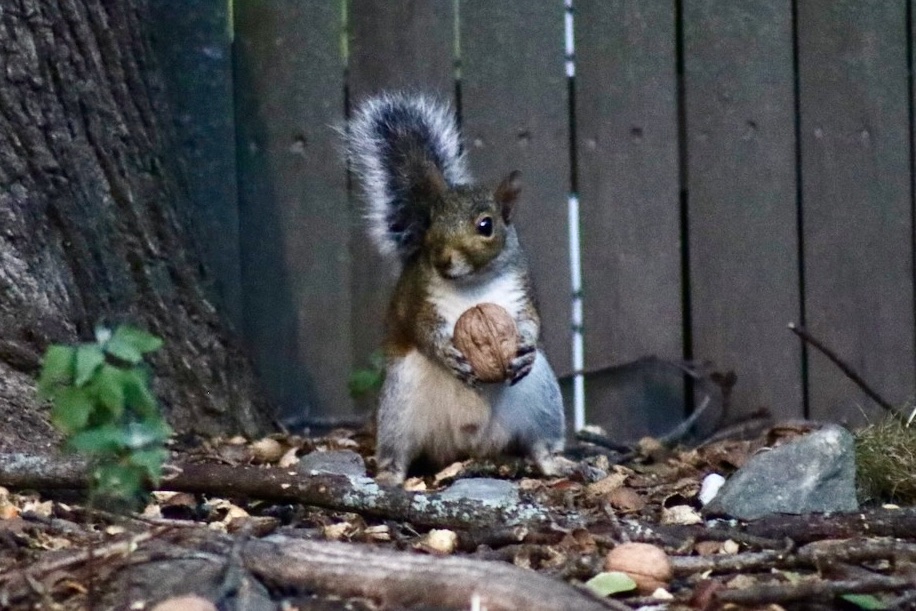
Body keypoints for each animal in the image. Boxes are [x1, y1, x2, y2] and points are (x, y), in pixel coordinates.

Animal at [346, 92, 566, 485]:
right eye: (429, 221)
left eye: (486, 225)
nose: (443, 259)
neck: (472, 284)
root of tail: (468, 444)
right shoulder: (419, 299)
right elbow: (423, 330)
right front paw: (448, 353)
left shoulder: (521, 289)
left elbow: (531, 320)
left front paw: (525, 345)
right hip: (400, 405)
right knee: (396, 452)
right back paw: (389, 477)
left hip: (542, 397)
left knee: (542, 443)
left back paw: (558, 463)